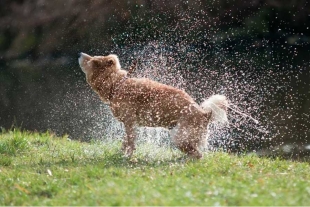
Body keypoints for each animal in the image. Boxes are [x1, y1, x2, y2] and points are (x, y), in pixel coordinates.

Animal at [77, 52, 228, 158]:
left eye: (93, 61)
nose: (79, 54)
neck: (117, 84)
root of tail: (205, 114)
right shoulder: (131, 124)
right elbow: (126, 140)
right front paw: (122, 152)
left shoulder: (129, 121)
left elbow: (130, 141)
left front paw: (127, 157)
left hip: (180, 137)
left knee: (197, 155)